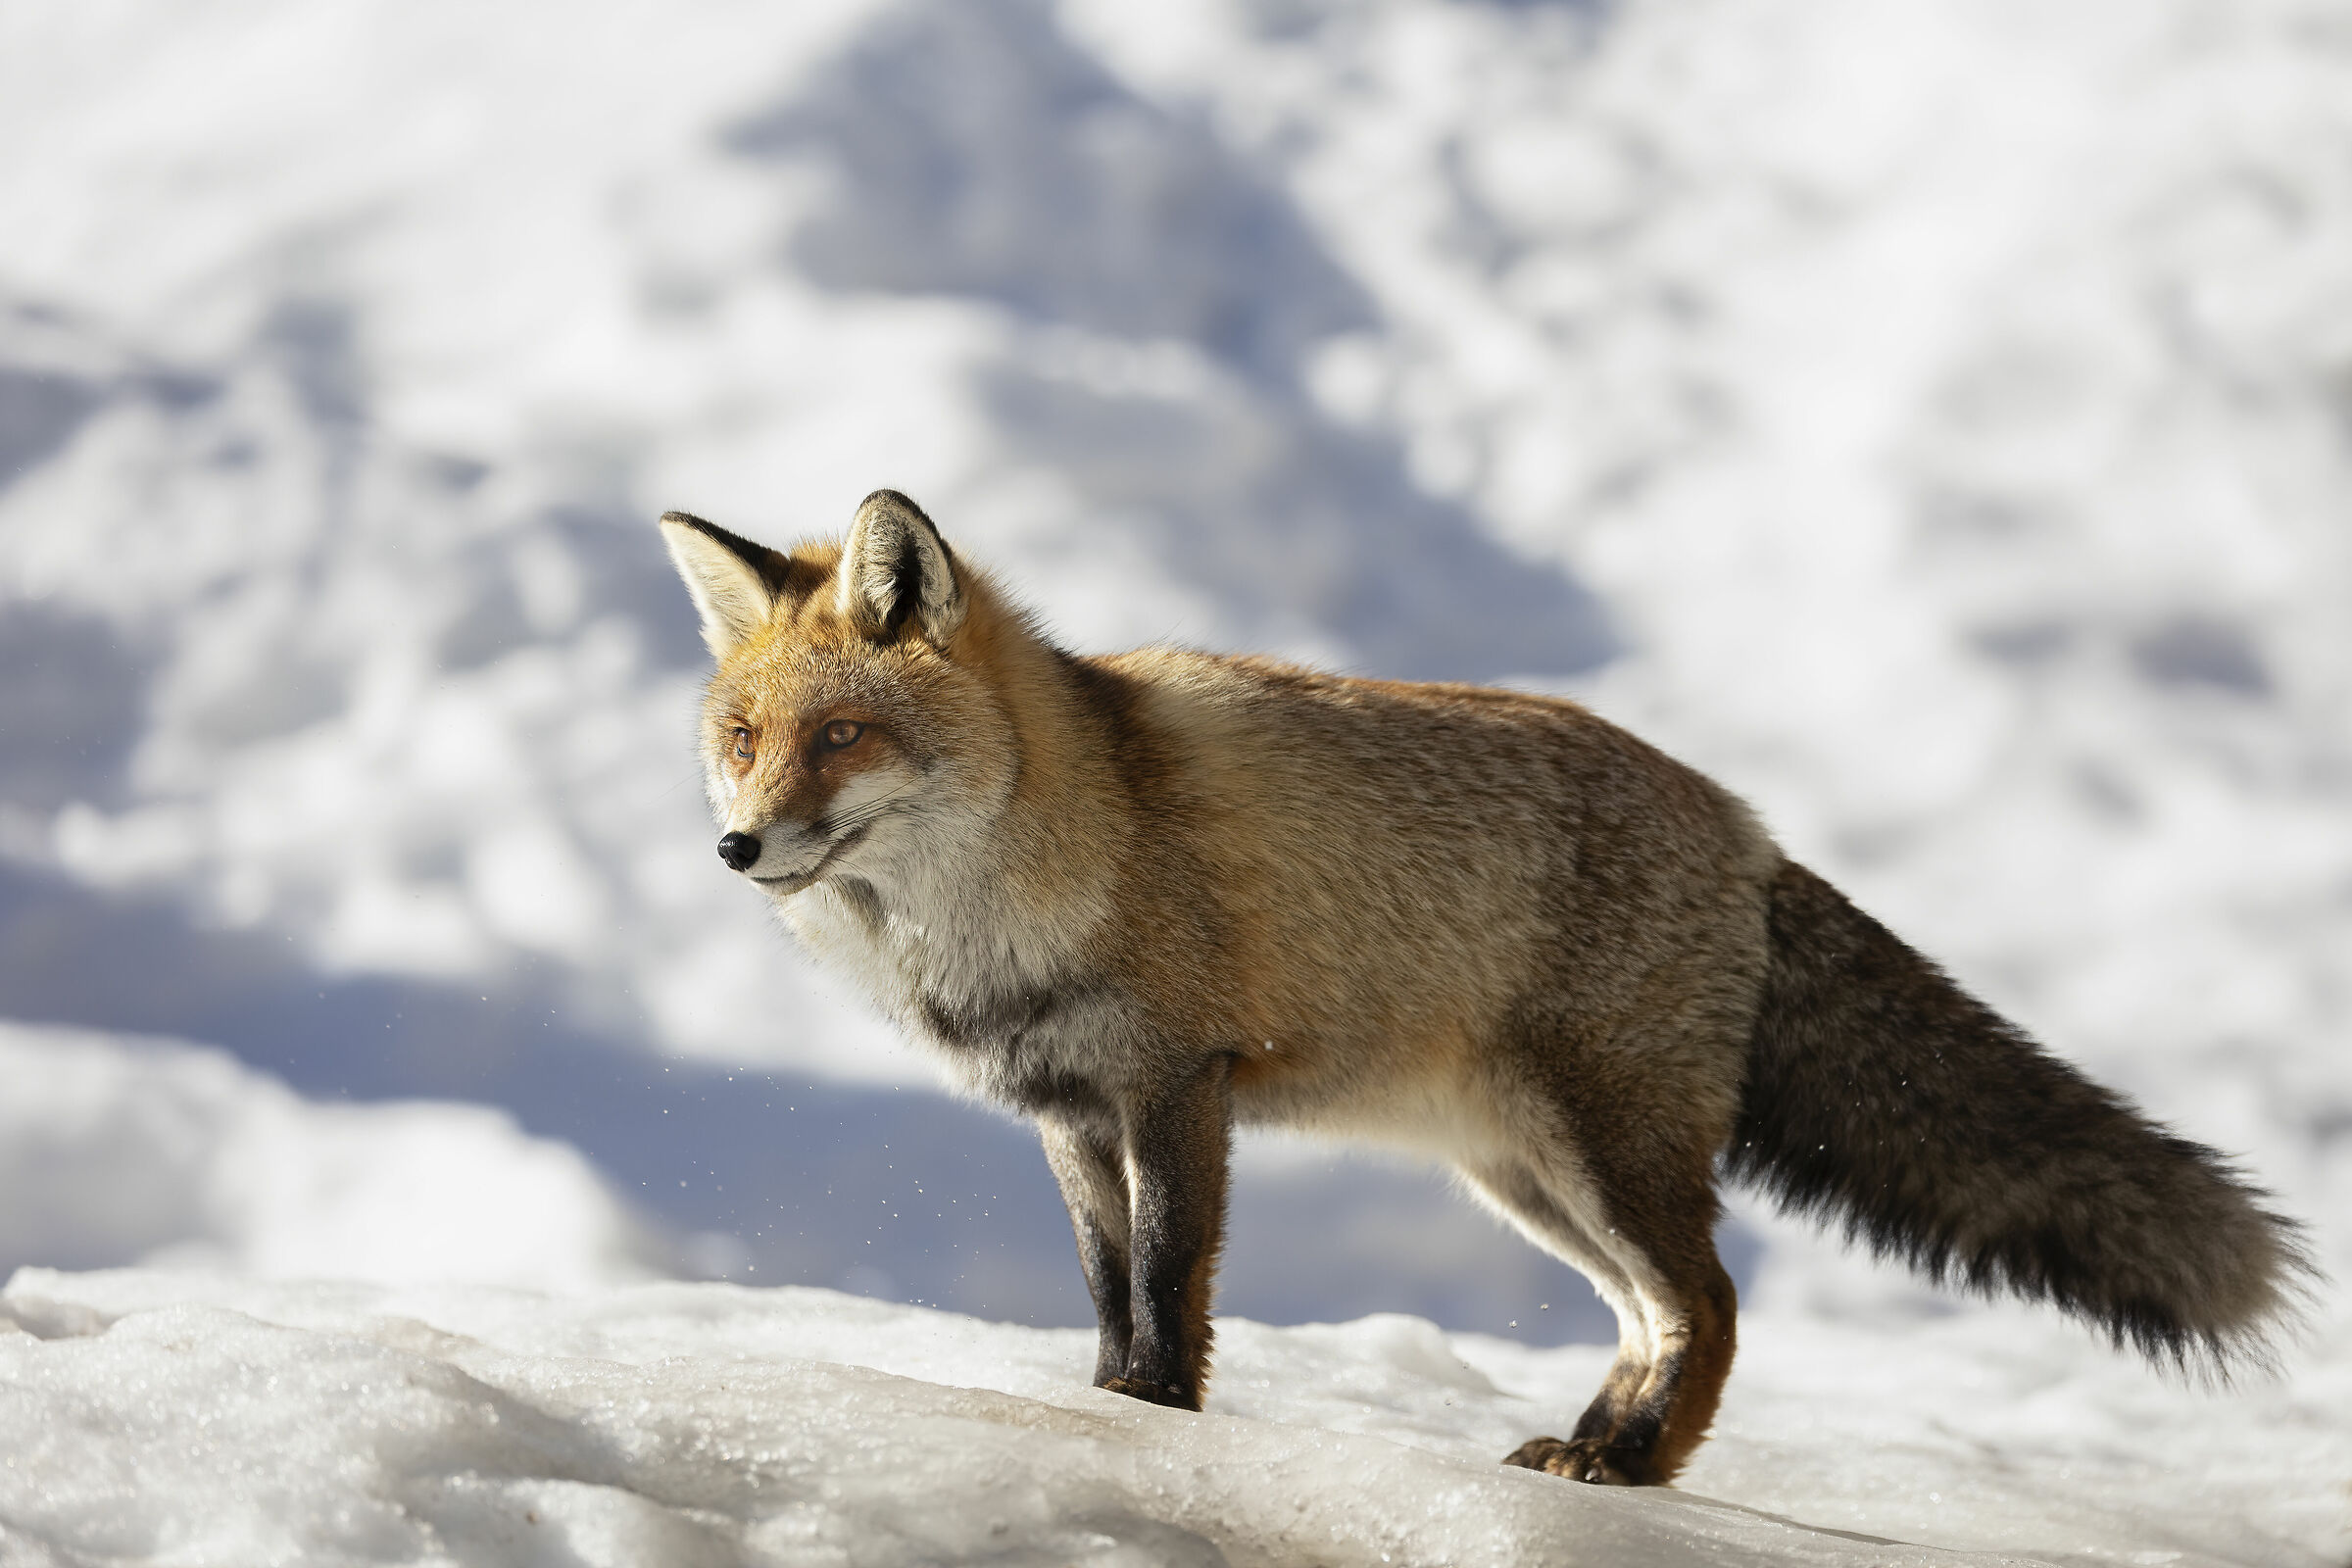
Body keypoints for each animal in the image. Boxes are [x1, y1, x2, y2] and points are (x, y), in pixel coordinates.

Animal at [658, 489, 2312, 1486]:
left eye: (843, 738)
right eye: (742, 738)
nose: (735, 846)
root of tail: (1751, 828)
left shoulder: (1179, 1084)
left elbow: (1174, 1275)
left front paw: (1160, 1422)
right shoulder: (1070, 1113)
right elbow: (1106, 1283)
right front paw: (1102, 1408)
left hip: (1602, 1151)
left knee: (1712, 1303)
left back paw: (1633, 1471)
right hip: (1526, 1177)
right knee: (1658, 1314)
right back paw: (1597, 1449)